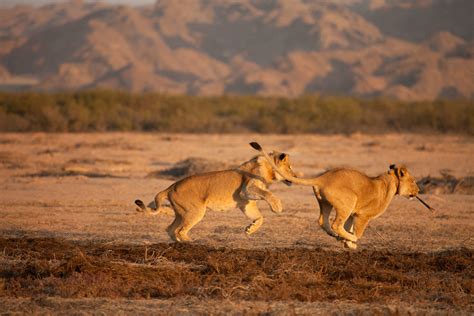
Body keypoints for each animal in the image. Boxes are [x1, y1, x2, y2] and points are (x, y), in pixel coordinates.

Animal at [134, 151, 296, 242]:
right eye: (289, 167)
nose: (294, 177)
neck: (270, 171)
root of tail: (171, 186)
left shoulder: (246, 202)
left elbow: (259, 217)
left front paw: (250, 229)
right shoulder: (247, 189)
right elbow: (267, 193)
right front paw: (277, 206)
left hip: (181, 213)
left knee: (170, 229)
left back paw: (179, 244)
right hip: (195, 211)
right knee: (180, 231)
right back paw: (192, 243)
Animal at [248, 142, 418, 248]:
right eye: (413, 181)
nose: (417, 191)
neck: (391, 181)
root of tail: (323, 177)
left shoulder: (353, 214)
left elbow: (348, 226)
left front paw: (345, 240)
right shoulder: (363, 215)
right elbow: (357, 231)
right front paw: (350, 242)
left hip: (326, 203)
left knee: (323, 221)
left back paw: (335, 235)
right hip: (349, 200)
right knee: (336, 223)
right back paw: (347, 237)